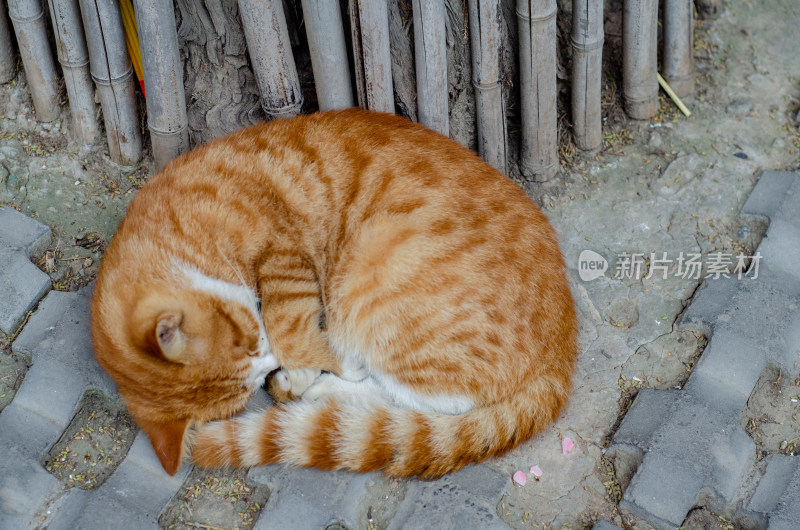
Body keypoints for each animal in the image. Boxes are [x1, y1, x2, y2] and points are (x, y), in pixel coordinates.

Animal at [90, 107, 580, 474]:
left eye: (250, 340)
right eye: (247, 378)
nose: (269, 367)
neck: (177, 228)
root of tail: (560, 353)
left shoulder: (284, 259)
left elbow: (291, 330)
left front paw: (318, 361)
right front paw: (303, 370)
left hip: (376, 290)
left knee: (437, 403)